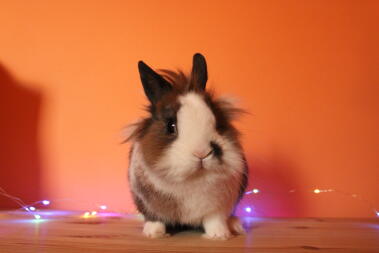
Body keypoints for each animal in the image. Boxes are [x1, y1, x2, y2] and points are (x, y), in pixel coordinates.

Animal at [126, 52, 248, 239]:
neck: (192, 179)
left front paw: (219, 235)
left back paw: (235, 225)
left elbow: (215, 220)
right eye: (170, 126)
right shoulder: (146, 202)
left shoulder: (219, 207)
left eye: (218, 123)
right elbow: (154, 218)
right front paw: (154, 233)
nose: (201, 153)